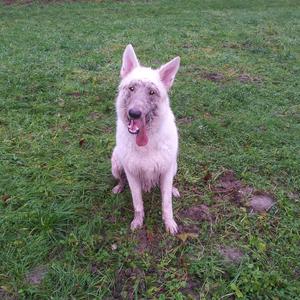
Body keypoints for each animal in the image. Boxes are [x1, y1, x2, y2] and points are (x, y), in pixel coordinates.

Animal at [110, 44, 179, 234]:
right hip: (115, 163)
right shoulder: (132, 174)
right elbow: (137, 203)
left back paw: (173, 189)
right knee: (121, 179)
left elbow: (167, 204)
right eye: (132, 88)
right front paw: (138, 221)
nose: (134, 113)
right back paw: (118, 187)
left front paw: (169, 223)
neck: (146, 143)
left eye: (151, 92)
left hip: (174, 166)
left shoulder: (166, 171)